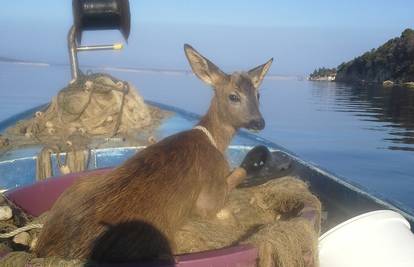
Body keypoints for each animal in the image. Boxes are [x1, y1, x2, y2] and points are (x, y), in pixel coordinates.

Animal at [32, 44, 272, 264]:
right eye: (234, 96)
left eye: (258, 94)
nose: (259, 122)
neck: (212, 140)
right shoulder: (208, 198)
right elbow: (233, 181)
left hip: (77, 186)